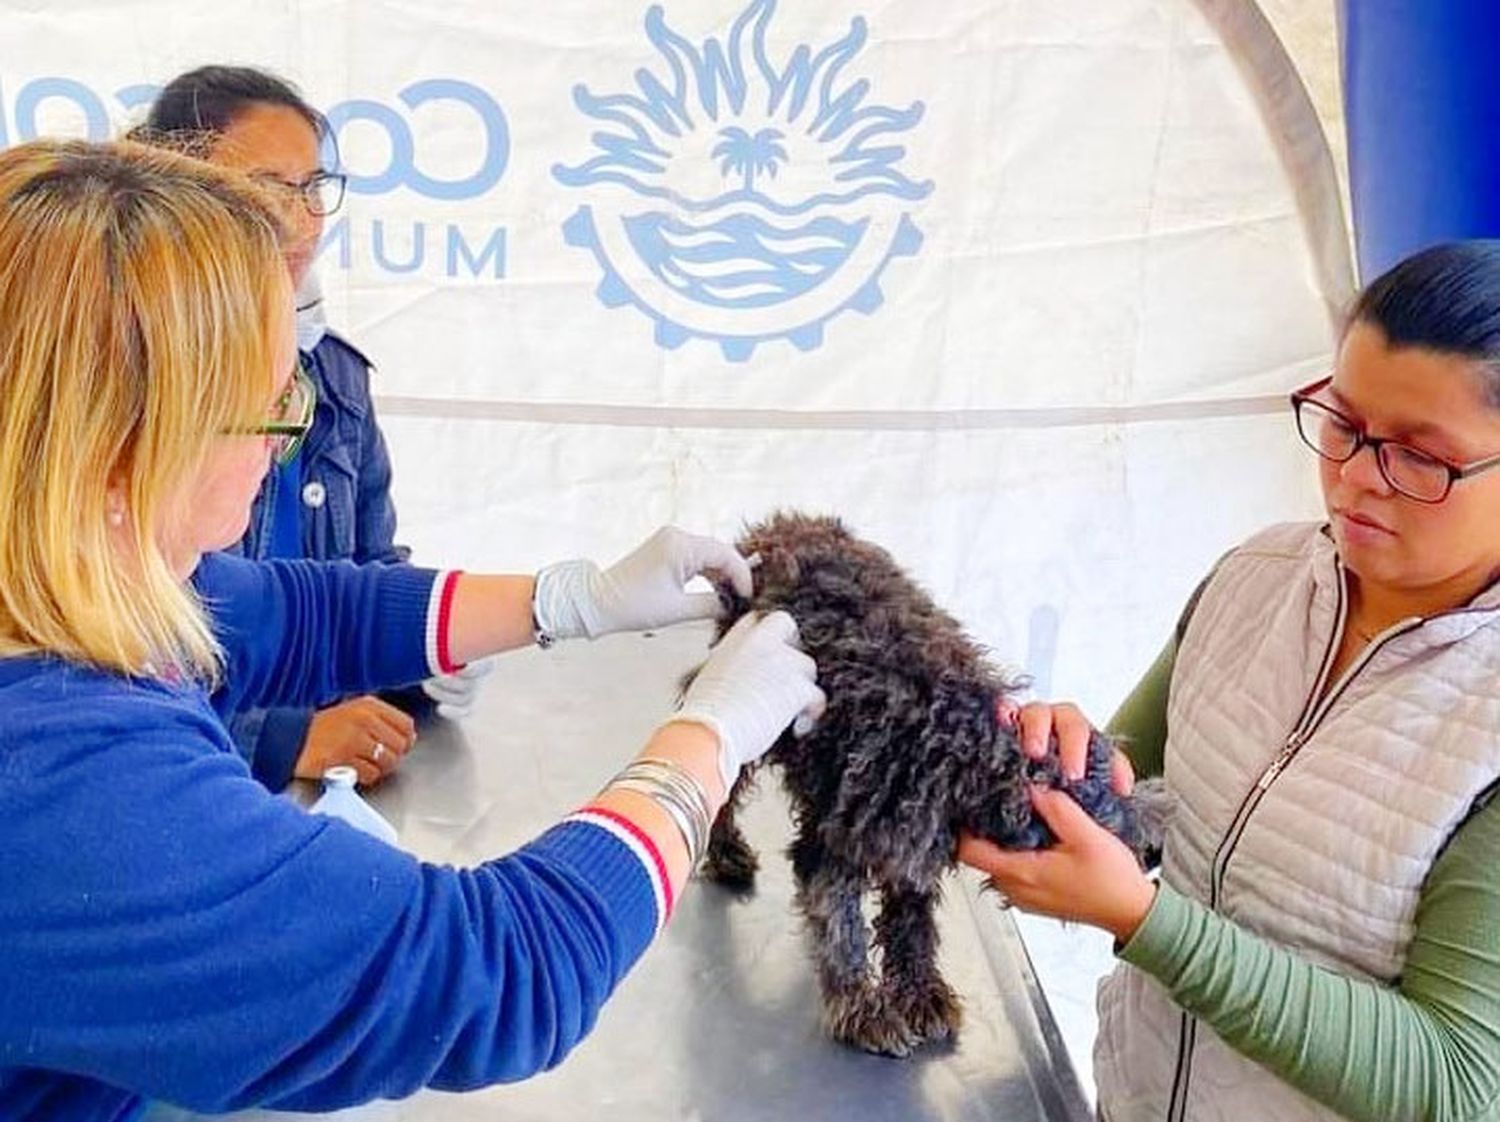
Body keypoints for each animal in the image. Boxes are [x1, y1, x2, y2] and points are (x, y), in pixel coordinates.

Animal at [693, 513, 1158, 1056]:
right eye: (1113, 829)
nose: (1153, 853)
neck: (956, 741)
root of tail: (783, 526)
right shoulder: (831, 849)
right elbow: (841, 929)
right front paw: (863, 1009)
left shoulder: (914, 849)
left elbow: (911, 920)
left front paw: (920, 991)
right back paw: (725, 850)